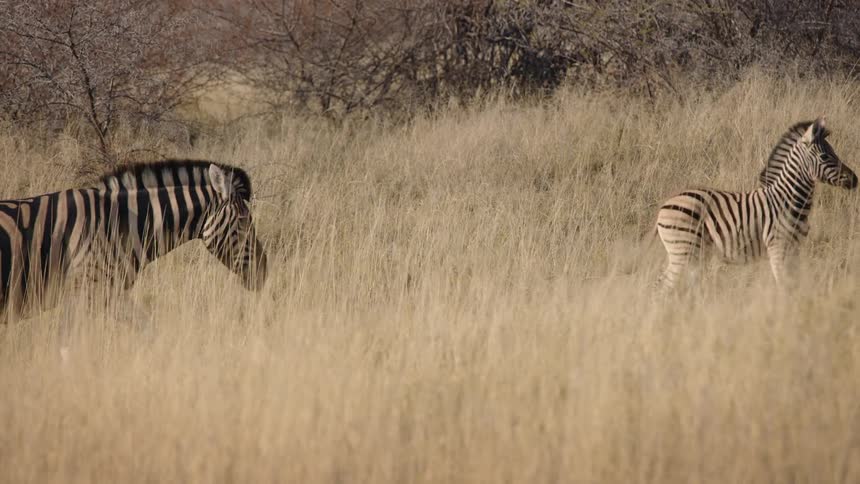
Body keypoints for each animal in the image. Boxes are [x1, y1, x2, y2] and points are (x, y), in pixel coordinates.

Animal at [655, 117, 857, 291]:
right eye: (824, 157)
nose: (855, 179)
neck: (788, 198)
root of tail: (665, 205)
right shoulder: (778, 246)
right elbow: (783, 284)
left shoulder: (794, 249)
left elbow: (793, 282)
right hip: (683, 251)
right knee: (663, 286)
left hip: (690, 254)